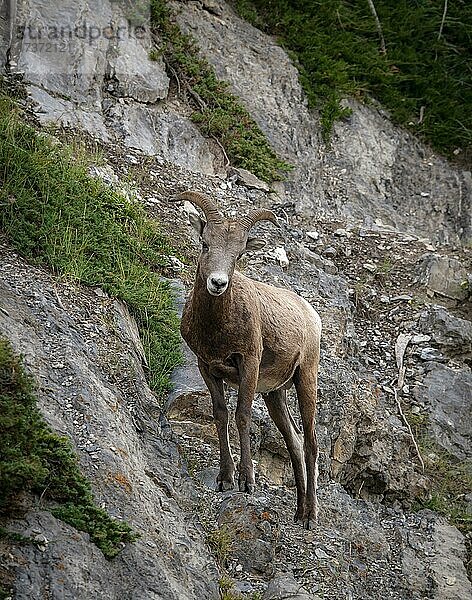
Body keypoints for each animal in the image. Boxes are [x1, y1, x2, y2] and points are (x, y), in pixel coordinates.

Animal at [171, 190, 322, 528]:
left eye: (239, 254)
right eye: (205, 244)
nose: (217, 283)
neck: (217, 327)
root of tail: (310, 314)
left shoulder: (248, 365)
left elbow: (242, 415)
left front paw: (246, 481)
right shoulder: (207, 366)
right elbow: (220, 414)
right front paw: (225, 479)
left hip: (306, 378)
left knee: (310, 443)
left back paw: (310, 516)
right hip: (275, 394)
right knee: (293, 441)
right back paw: (298, 512)